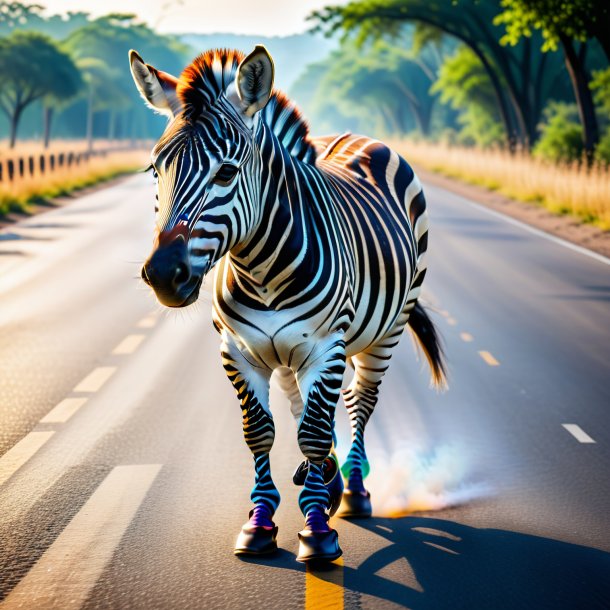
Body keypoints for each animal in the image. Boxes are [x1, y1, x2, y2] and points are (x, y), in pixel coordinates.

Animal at [128, 44, 444, 560]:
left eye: (226, 172)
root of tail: (356, 137)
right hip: (291, 355)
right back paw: (330, 481)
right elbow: (262, 432)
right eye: (156, 170)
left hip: (386, 330)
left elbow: (312, 435)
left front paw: (317, 529)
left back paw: (353, 493)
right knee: (305, 407)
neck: (262, 271)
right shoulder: (237, 351)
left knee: (359, 401)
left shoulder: (326, 346)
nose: (162, 275)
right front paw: (260, 521)